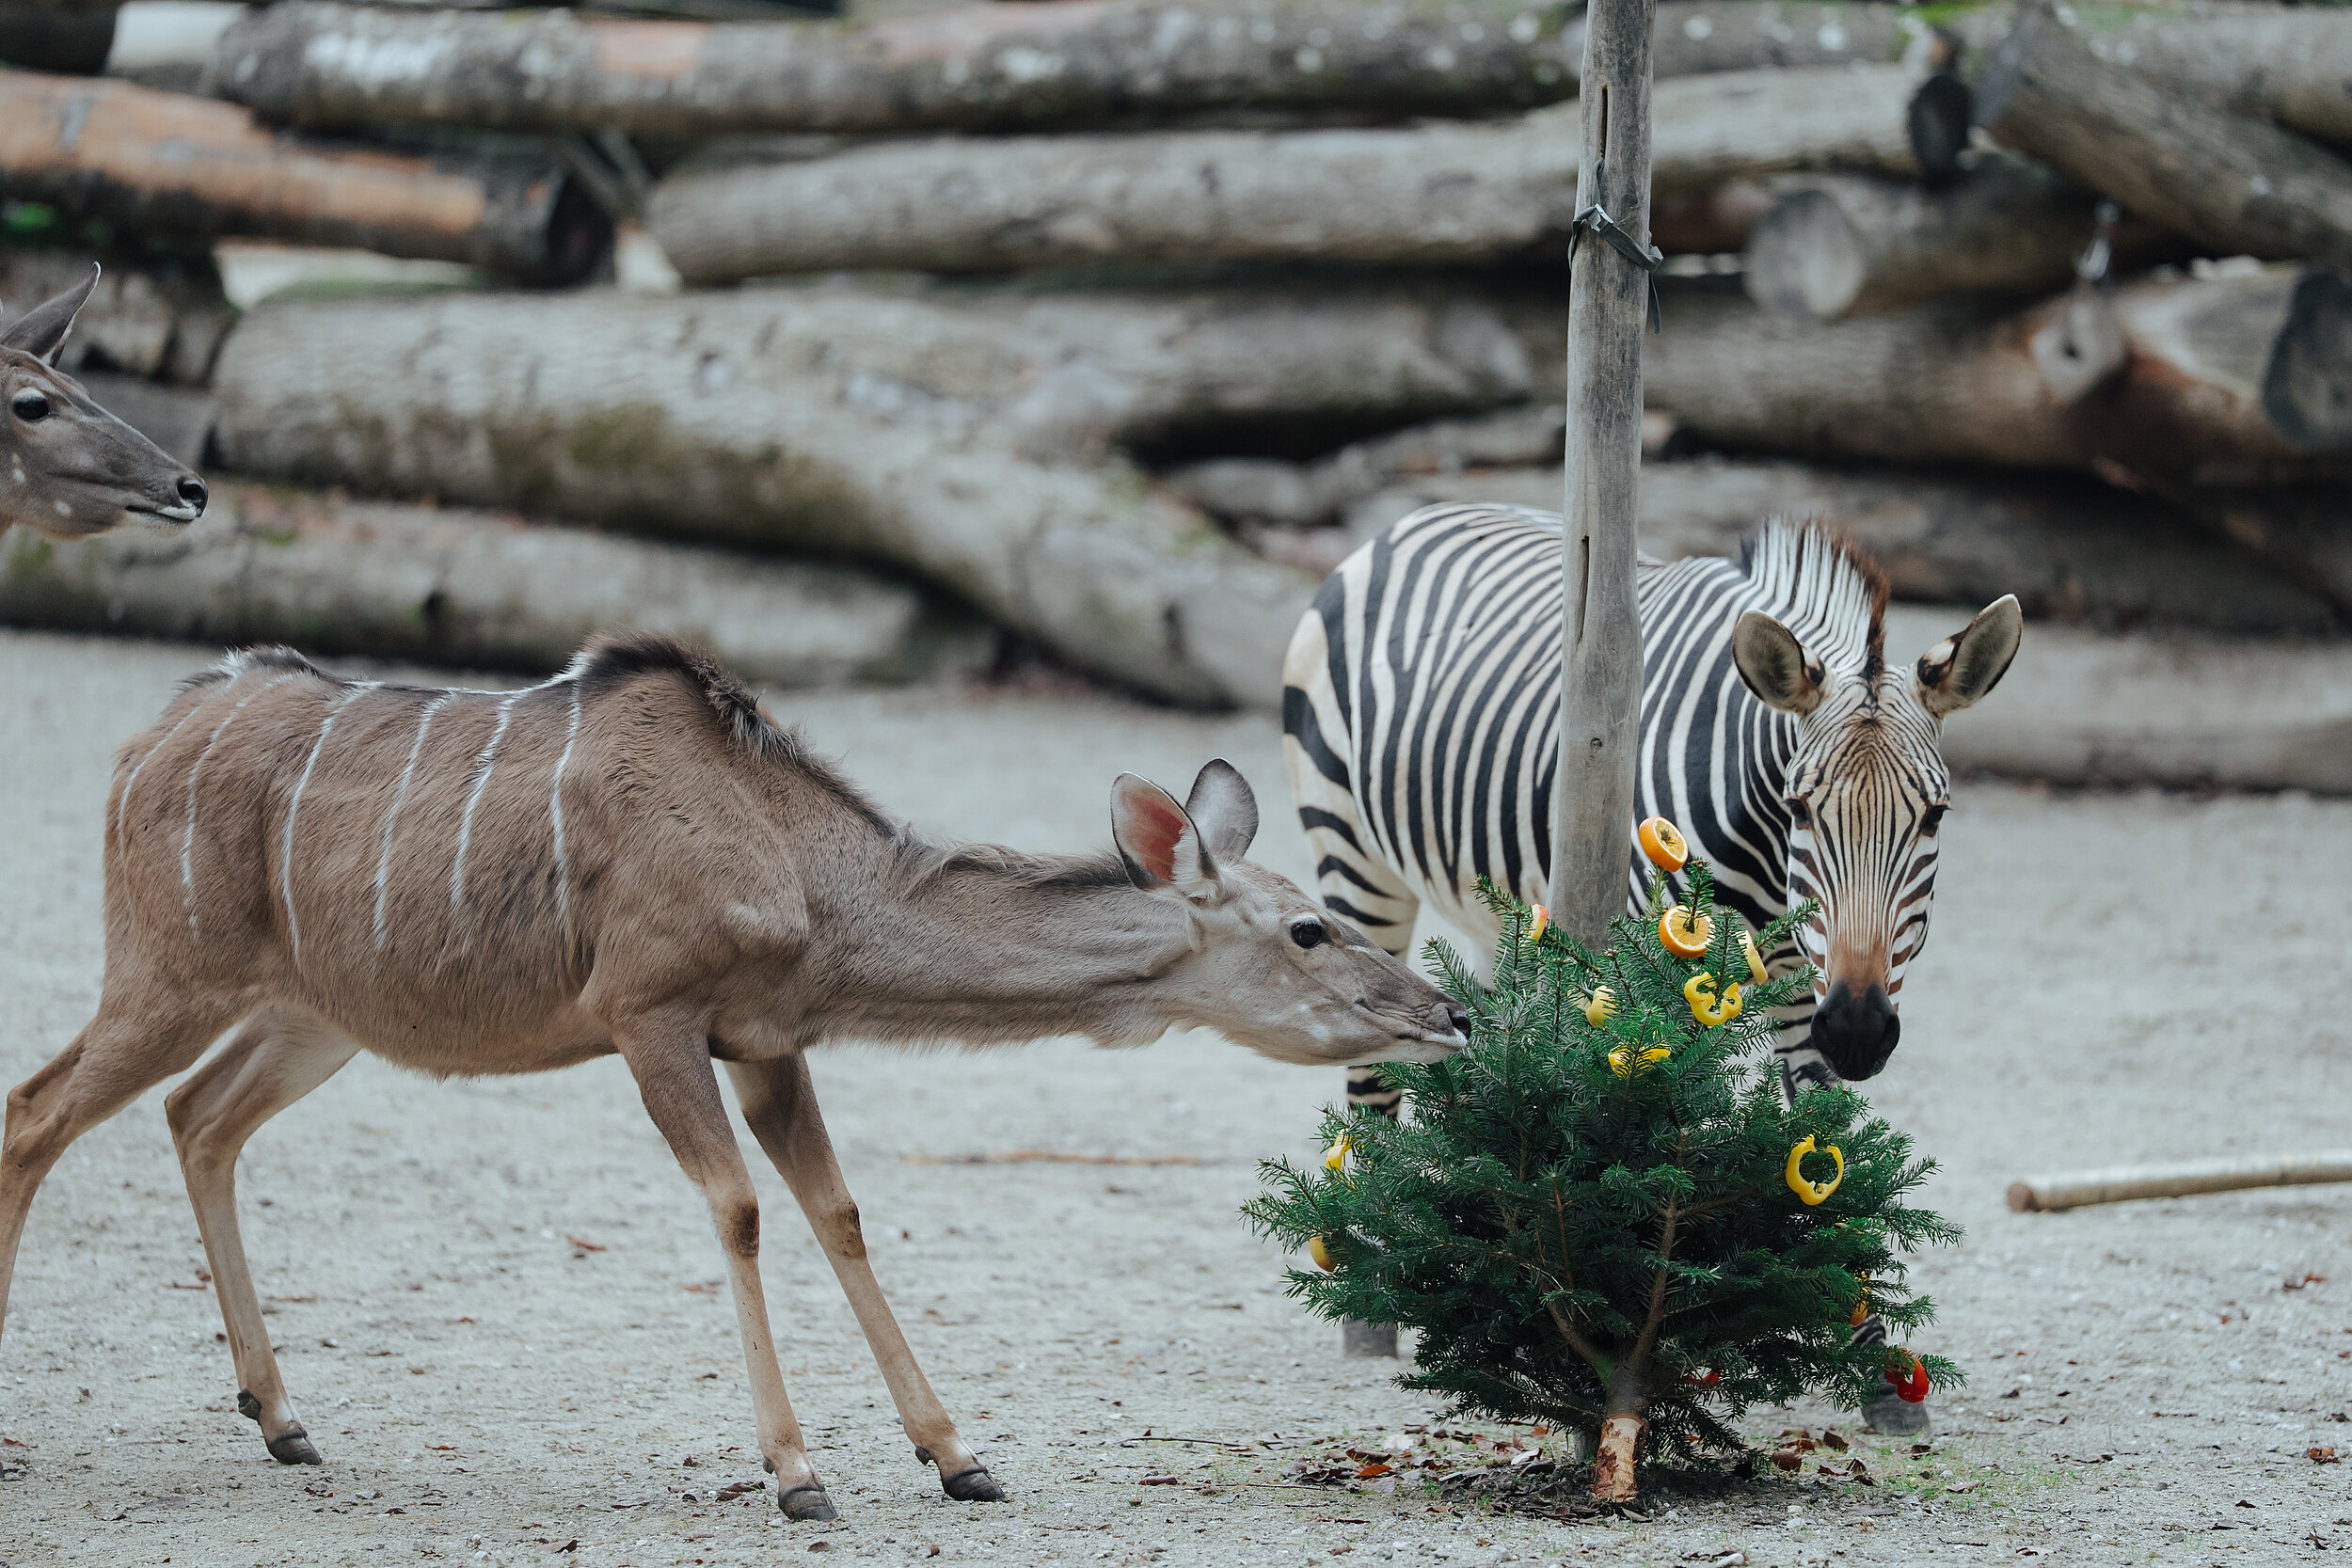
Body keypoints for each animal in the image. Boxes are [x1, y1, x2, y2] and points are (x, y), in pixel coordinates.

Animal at [1280, 506, 2021, 1409]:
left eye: (1935, 816)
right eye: (1803, 807)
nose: (1859, 1029)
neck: (1765, 835)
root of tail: (1407, 522)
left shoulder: (1801, 977)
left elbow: (1822, 1143)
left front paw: (1872, 1360)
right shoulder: (1663, 949)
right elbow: (1658, 1117)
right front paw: (1635, 1310)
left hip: (1498, 906)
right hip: (1352, 851)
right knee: (1373, 1070)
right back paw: (1374, 1300)